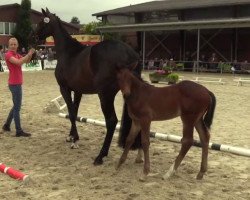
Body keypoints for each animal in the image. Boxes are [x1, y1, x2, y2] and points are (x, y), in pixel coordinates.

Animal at [31, 8, 141, 164]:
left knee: (111, 121)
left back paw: (101, 156)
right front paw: (71, 136)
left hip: (105, 95)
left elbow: (71, 113)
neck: (69, 53)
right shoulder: (78, 91)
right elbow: (75, 112)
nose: (33, 37)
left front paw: (75, 140)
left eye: (41, 22)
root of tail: (129, 54)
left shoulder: (64, 89)